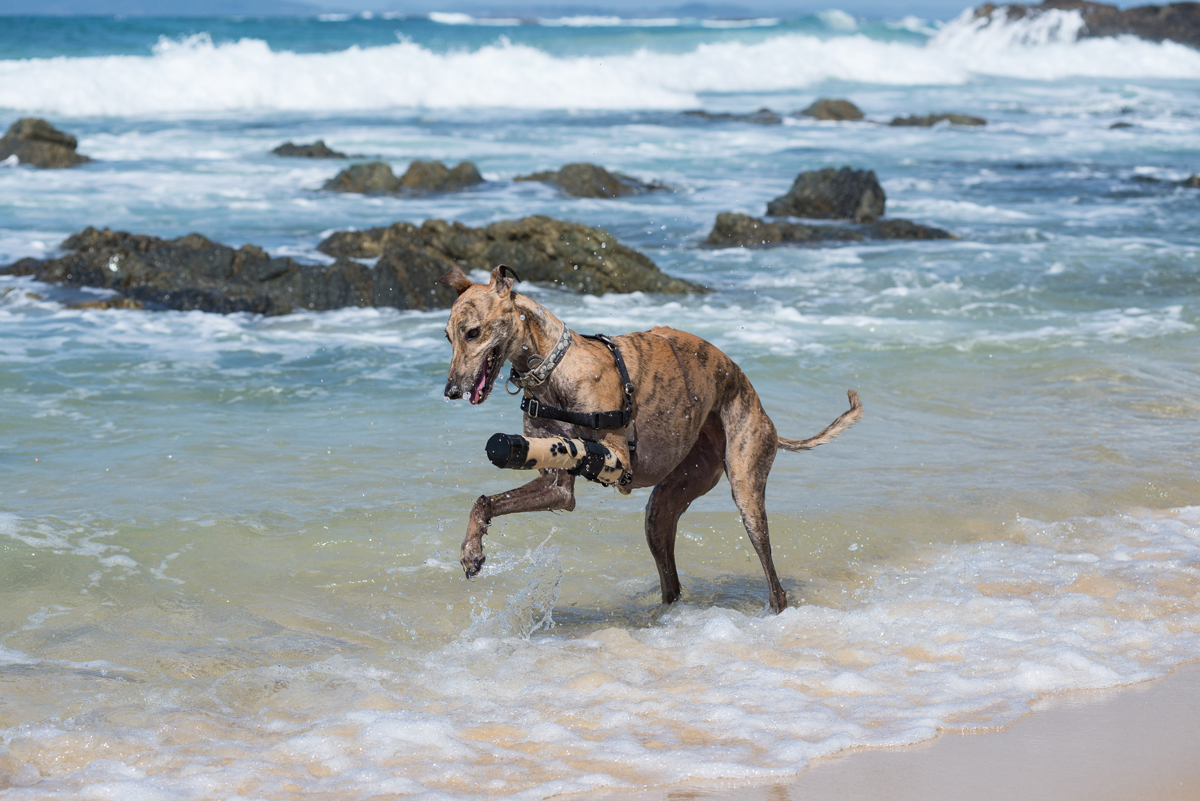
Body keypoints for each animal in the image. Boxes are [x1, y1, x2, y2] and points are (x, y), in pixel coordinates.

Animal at [440, 265, 862, 613]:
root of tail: (763, 411)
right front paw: (472, 549)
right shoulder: (556, 488)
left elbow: (581, 450)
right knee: (670, 580)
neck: (554, 367)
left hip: (746, 490)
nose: (450, 391)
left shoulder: (616, 457)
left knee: (773, 579)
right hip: (663, 510)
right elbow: (485, 501)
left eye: (473, 332)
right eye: (447, 337)